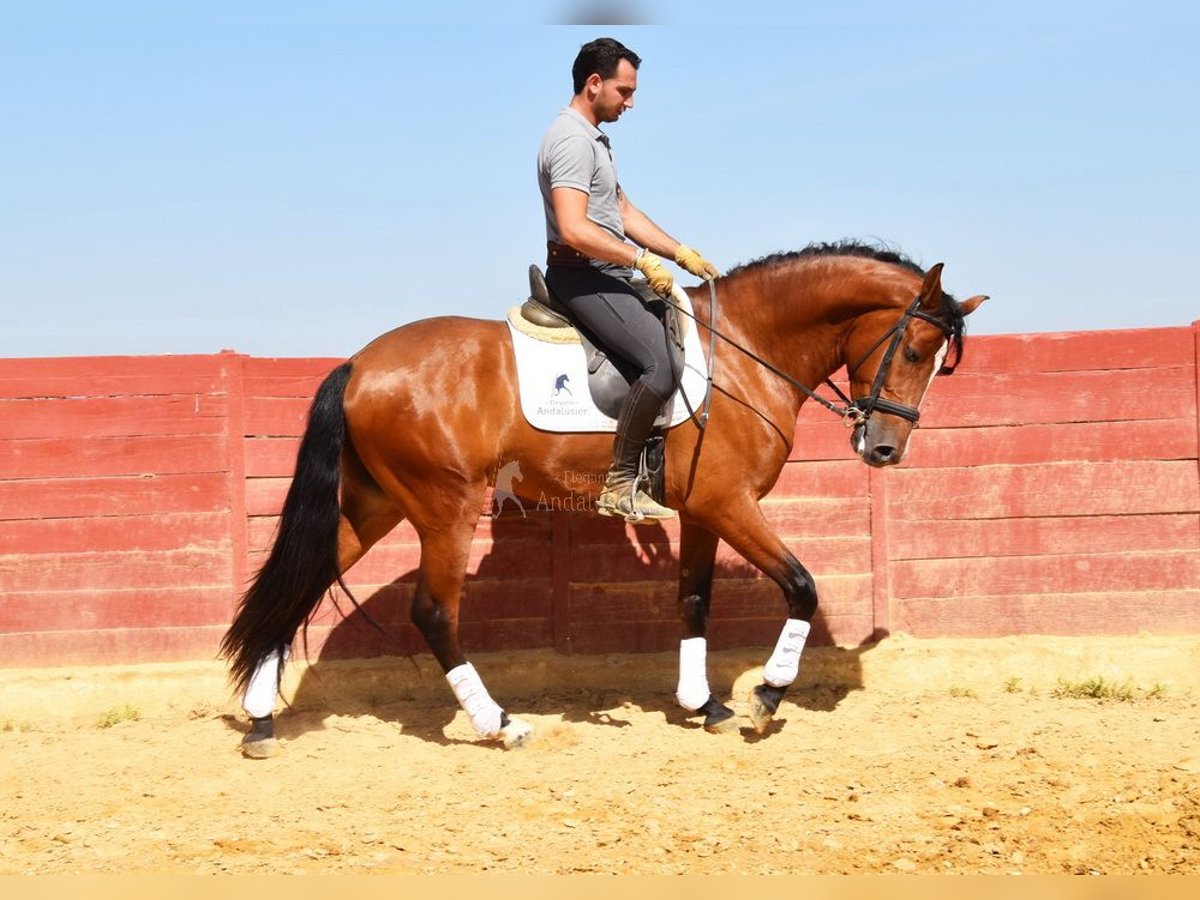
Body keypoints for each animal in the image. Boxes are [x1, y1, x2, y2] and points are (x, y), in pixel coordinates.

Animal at [218, 240, 984, 753]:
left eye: (935, 364)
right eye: (914, 351)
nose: (884, 451)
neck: (744, 350)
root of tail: (357, 365)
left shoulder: (703, 510)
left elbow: (693, 598)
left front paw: (703, 703)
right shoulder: (732, 504)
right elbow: (801, 585)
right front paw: (766, 695)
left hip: (376, 504)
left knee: (303, 582)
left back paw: (261, 719)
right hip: (444, 508)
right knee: (433, 613)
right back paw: (498, 723)